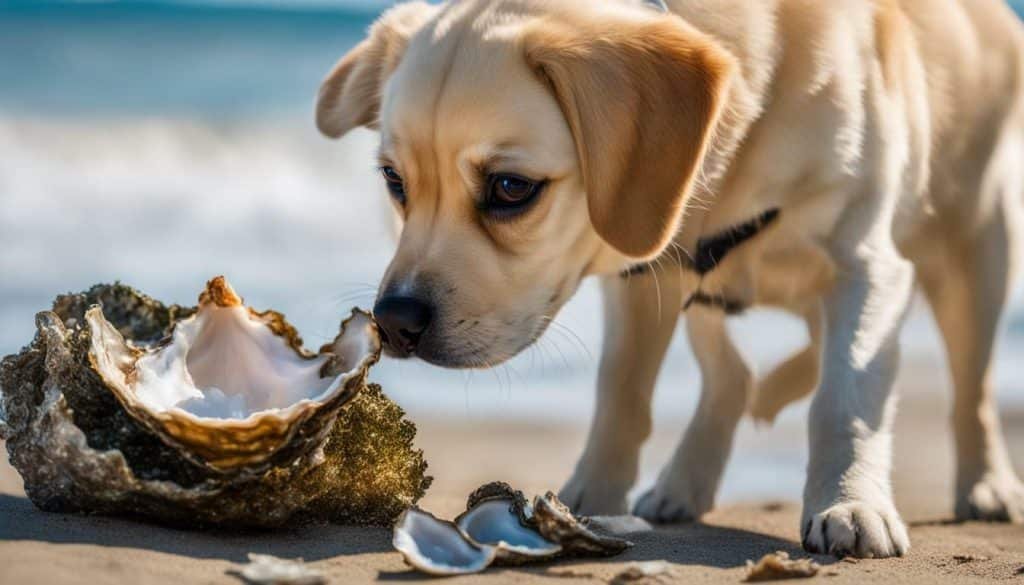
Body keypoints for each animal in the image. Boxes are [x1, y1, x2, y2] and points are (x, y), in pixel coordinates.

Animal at [315, 0, 1024, 557]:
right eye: (394, 181)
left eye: (511, 188)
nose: (395, 321)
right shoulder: (644, 267)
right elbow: (621, 392)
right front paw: (590, 498)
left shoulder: (868, 270)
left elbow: (843, 398)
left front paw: (850, 504)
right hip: (698, 290)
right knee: (730, 378)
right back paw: (685, 481)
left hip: (978, 254)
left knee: (971, 390)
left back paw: (987, 484)